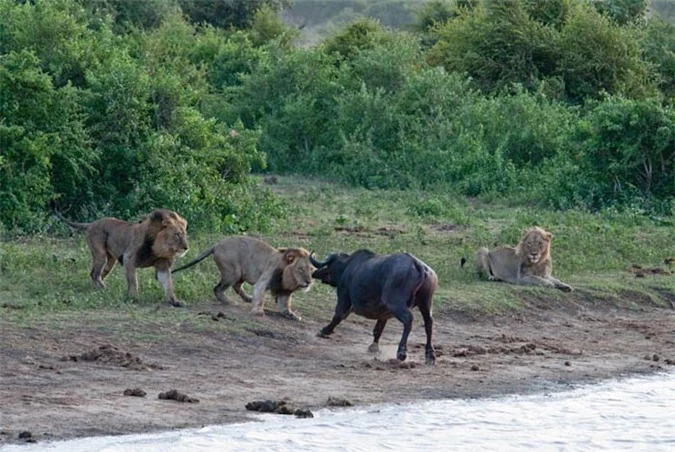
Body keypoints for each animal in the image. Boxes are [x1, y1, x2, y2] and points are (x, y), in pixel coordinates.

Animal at [51, 204, 189, 308]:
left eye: (184, 234)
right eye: (177, 235)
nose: (186, 247)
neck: (158, 248)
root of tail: (92, 223)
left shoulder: (162, 265)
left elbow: (168, 284)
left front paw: (175, 301)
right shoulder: (129, 258)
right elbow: (133, 281)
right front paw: (133, 297)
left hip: (110, 261)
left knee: (97, 274)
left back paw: (98, 289)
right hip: (100, 255)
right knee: (95, 274)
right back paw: (104, 288)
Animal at [172, 235, 314, 320]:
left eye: (311, 270)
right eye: (301, 269)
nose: (308, 282)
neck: (288, 278)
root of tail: (217, 244)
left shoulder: (285, 291)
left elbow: (285, 304)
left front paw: (292, 314)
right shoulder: (263, 281)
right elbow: (260, 296)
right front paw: (258, 311)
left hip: (240, 274)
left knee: (236, 286)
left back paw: (248, 298)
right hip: (232, 272)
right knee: (217, 288)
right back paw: (229, 301)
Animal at [310, 249, 438, 366]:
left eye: (329, 266)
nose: (314, 273)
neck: (348, 267)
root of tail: (416, 263)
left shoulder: (344, 297)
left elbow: (338, 315)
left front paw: (325, 330)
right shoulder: (384, 314)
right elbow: (378, 329)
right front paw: (374, 347)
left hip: (396, 304)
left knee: (408, 320)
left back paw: (401, 352)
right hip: (426, 303)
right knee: (428, 322)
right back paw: (430, 355)